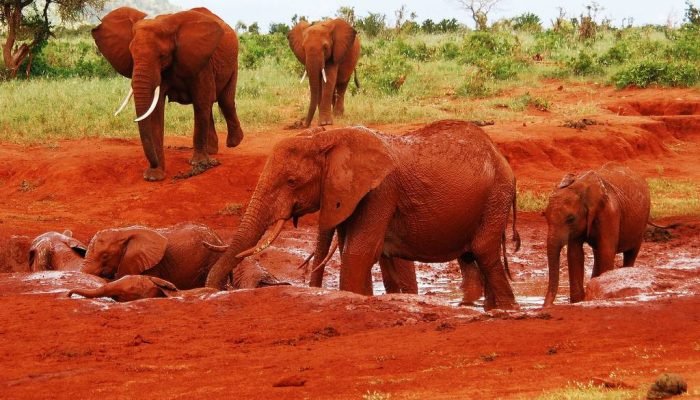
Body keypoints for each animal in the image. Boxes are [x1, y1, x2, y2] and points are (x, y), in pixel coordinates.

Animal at [91, 7, 243, 181]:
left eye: (162, 56)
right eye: (131, 55)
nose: (153, 164)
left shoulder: (201, 62)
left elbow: (201, 100)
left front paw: (198, 163)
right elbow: (156, 110)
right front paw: (154, 176)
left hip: (233, 63)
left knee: (224, 101)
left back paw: (234, 143)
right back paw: (212, 150)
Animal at [208, 120, 520, 310]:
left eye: (292, 181)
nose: (212, 291)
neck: (329, 137)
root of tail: (499, 155)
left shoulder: (380, 191)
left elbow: (359, 253)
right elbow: (373, 255)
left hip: (497, 194)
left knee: (483, 251)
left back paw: (507, 309)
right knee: (470, 257)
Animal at [540, 162, 652, 306]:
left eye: (570, 219)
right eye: (545, 216)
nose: (546, 306)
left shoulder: (609, 212)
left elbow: (606, 251)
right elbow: (575, 254)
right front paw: (578, 301)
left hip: (641, 223)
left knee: (630, 253)